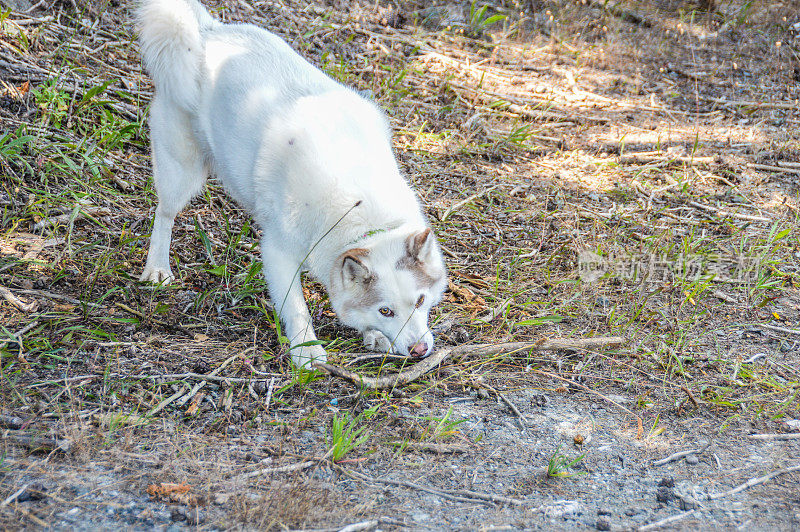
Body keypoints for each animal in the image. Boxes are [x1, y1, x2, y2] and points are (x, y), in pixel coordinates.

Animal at [138, 0, 450, 366]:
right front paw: (307, 351)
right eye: (385, 310)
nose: (420, 351)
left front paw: (373, 336)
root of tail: (208, 31)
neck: (363, 215)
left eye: (420, 301)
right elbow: (297, 306)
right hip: (180, 171)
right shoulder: (278, 254)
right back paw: (157, 269)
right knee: (164, 214)